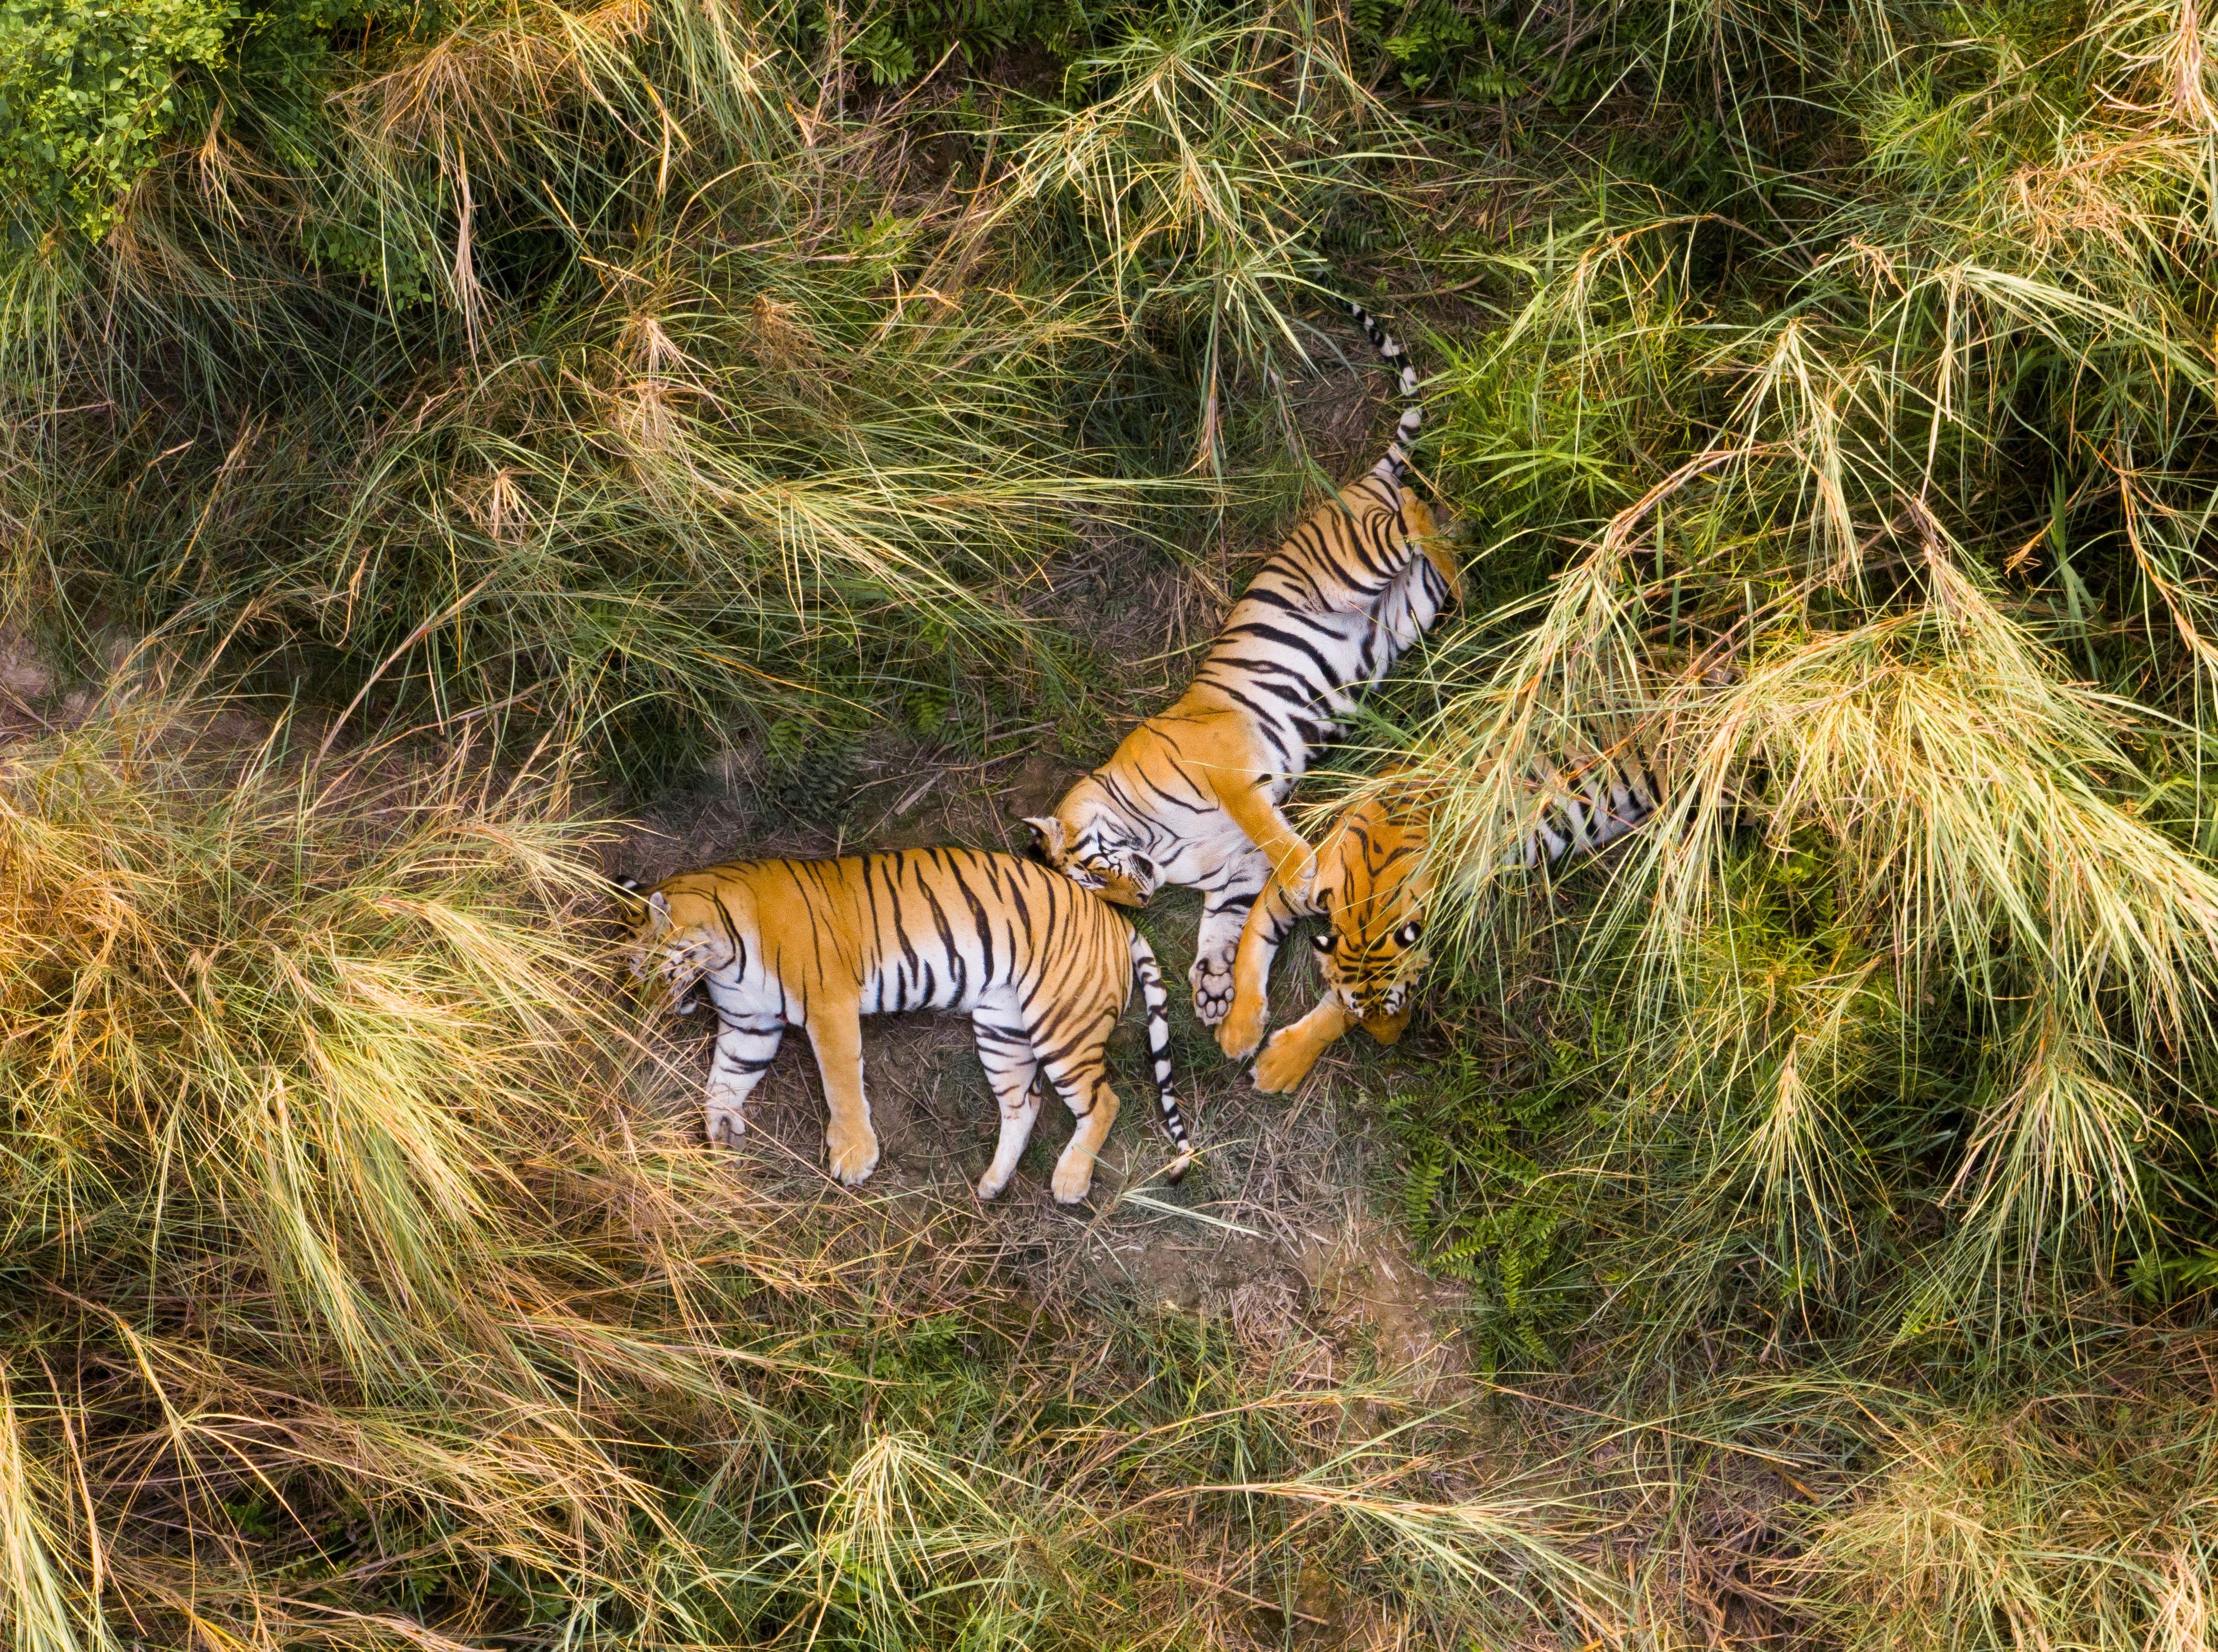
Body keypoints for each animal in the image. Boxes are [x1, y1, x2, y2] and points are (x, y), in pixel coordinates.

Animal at [618, 848, 1193, 1203]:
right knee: (1024, 1103)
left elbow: (841, 1085)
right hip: (1001, 1027)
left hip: (1061, 1022)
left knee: (1104, 1101)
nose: (643, 1009)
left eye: (648, 971)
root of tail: (1115, 915)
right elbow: (724, 1080)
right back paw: (992, 1183)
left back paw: (1069, 1181)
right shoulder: (749, 1025)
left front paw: (854, 1157)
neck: (721, 955)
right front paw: (718, 1131)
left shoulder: (828, 1004)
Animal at [1026, 299, 1460, 1027]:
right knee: (1436, 540)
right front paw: (1211, 986)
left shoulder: (1234, 773)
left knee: (1424, 511)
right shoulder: (1234, 869)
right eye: (1097, 893)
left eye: (1090, 874)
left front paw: (1309, 878)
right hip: (1409, 608)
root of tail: (1357, 481)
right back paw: (1468, 592)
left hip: (1361, 559)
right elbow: (1223, 921)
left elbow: (1279, 843)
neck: (1157, 842)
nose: (1139, 904)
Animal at [1219, 750, 1667, 1092]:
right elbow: (1252, 941)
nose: (1392, 1044)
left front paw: (1277, 1067)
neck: (1369, 907)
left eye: (1402, 1002)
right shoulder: (1297, 885)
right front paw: (1239, 1030)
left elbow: (1332, 1012)